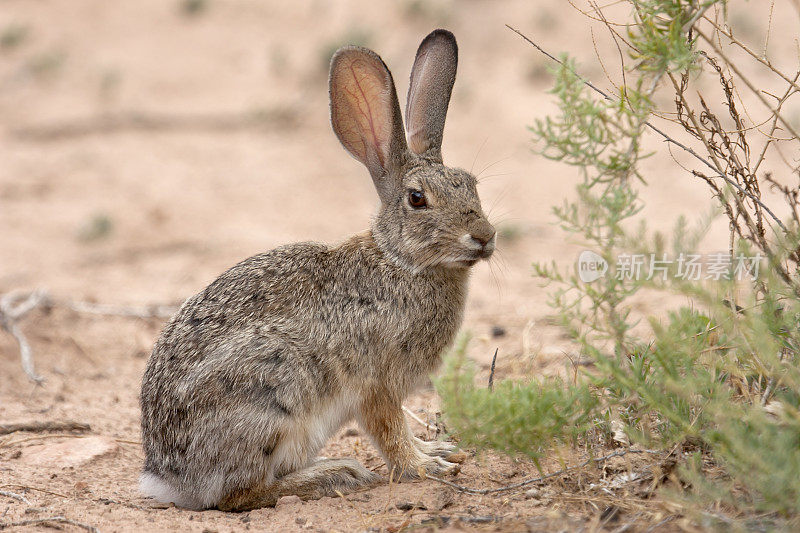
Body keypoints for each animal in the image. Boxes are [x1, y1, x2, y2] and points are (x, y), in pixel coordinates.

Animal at [141, 30, 496, 512]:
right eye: (418, 199)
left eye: (472, 185)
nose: (485, 235)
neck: (399, 260)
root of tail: (169, 478)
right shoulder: (377, 384)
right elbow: (390, 433)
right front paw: (426, 467)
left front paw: (437, 450)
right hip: (275, 396)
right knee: (242, 493)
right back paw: (335, 474)